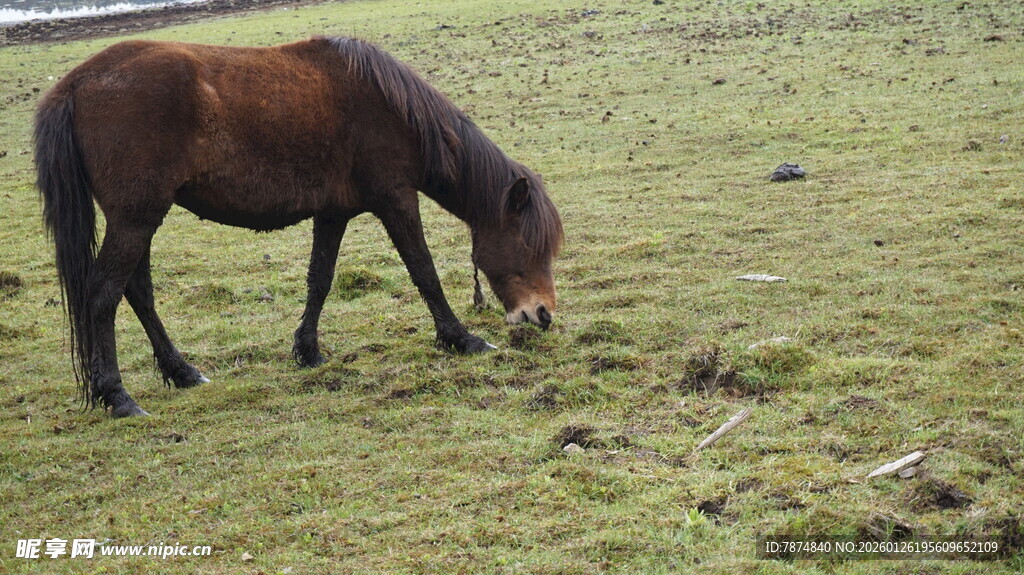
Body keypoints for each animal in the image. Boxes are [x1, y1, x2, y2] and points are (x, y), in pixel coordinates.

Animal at [35, 36, 563, 418]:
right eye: (528, 245)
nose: (541, 315)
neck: (389, 106)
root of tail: (74, 86)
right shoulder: (396, 200)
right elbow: (424, 272)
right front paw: (462, 339)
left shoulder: (333, 213)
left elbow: (320, 281)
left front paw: (307, 351)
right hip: (137, 216)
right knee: (103, 294)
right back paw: (117, 397)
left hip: (140, 218)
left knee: (138, 293)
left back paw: (183, 372)